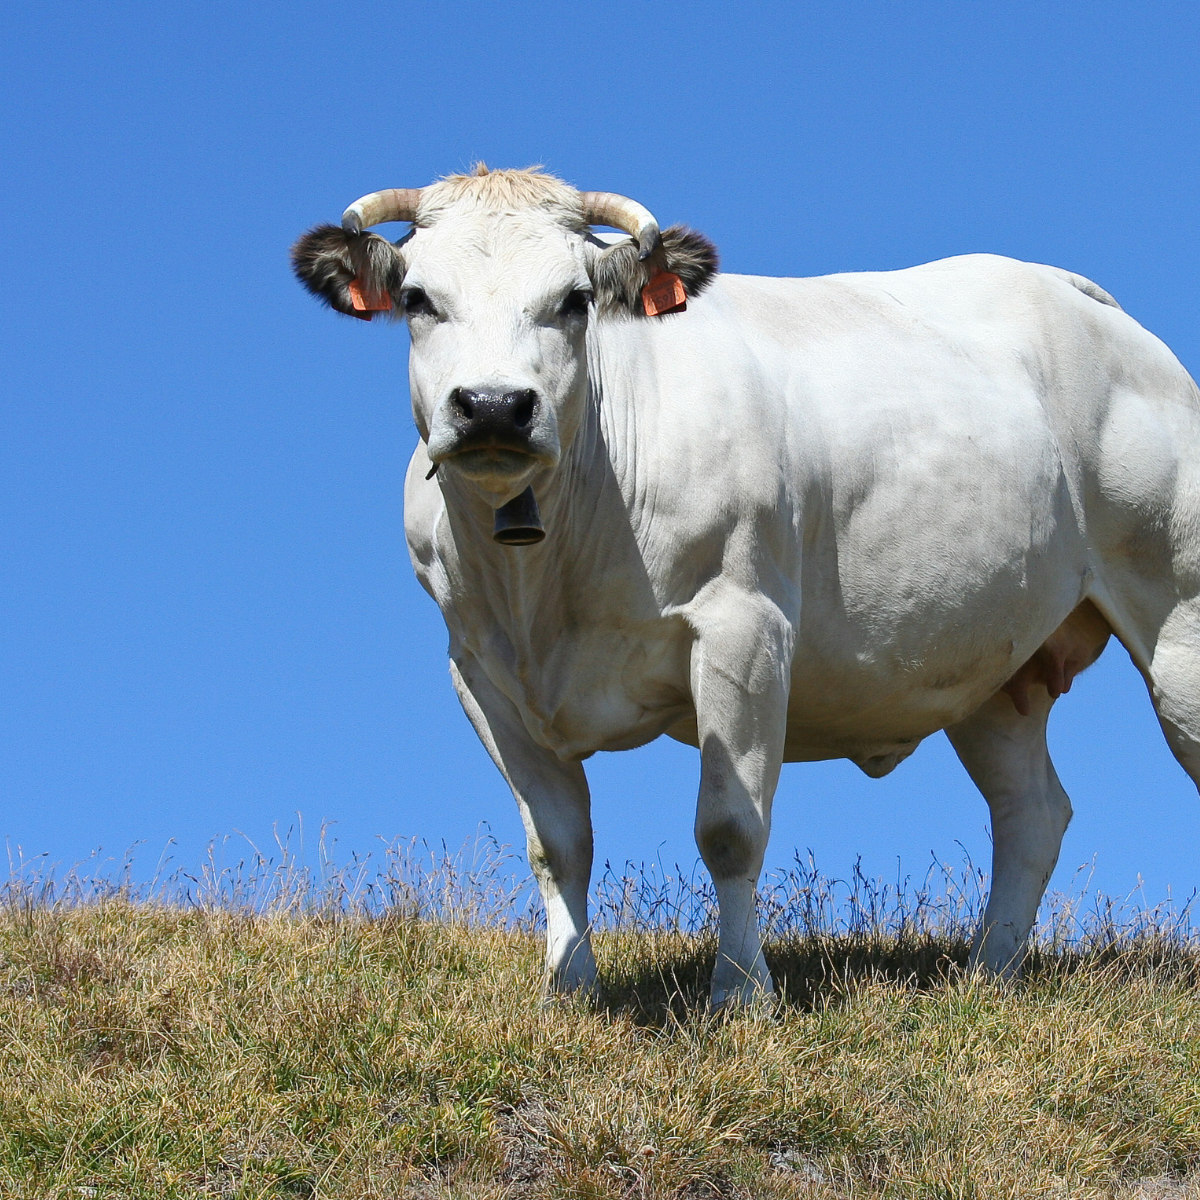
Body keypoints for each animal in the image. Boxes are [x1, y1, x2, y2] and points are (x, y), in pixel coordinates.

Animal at [292, 164, 1200, 1008]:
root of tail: (1080, 298)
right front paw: (568, 988)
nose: (490, 405)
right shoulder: (480, 670)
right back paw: (987, 976)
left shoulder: (744, 625)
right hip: (992, 666)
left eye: (575, 300)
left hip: (1179, 617)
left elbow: (729, 828)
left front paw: (739, 991)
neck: (543, 583)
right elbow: (557, 842)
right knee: (1032, 814)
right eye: (417, 298)